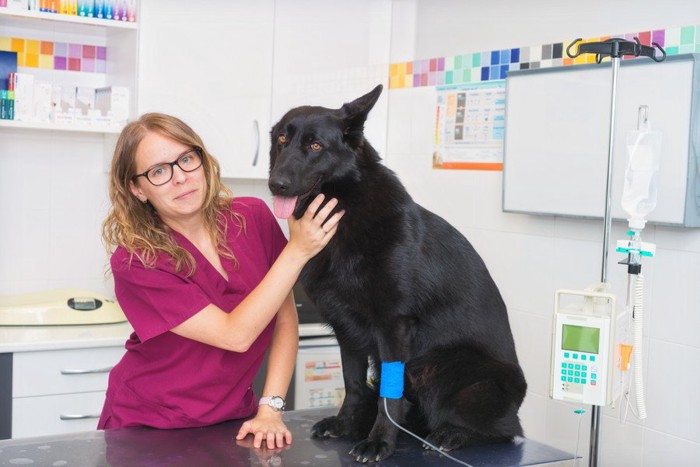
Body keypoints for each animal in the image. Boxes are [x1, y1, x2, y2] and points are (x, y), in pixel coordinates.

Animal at [268, 86, 524, 462]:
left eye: (315, 146)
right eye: (282, 140)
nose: (276, 185)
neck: (346, 213)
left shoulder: (393, 324)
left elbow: (390, 397)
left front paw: (379, 442)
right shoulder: (346, 329)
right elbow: (354, 383)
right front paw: (346, 424)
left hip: (445, 367)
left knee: (503, 431)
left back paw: (449, 434)